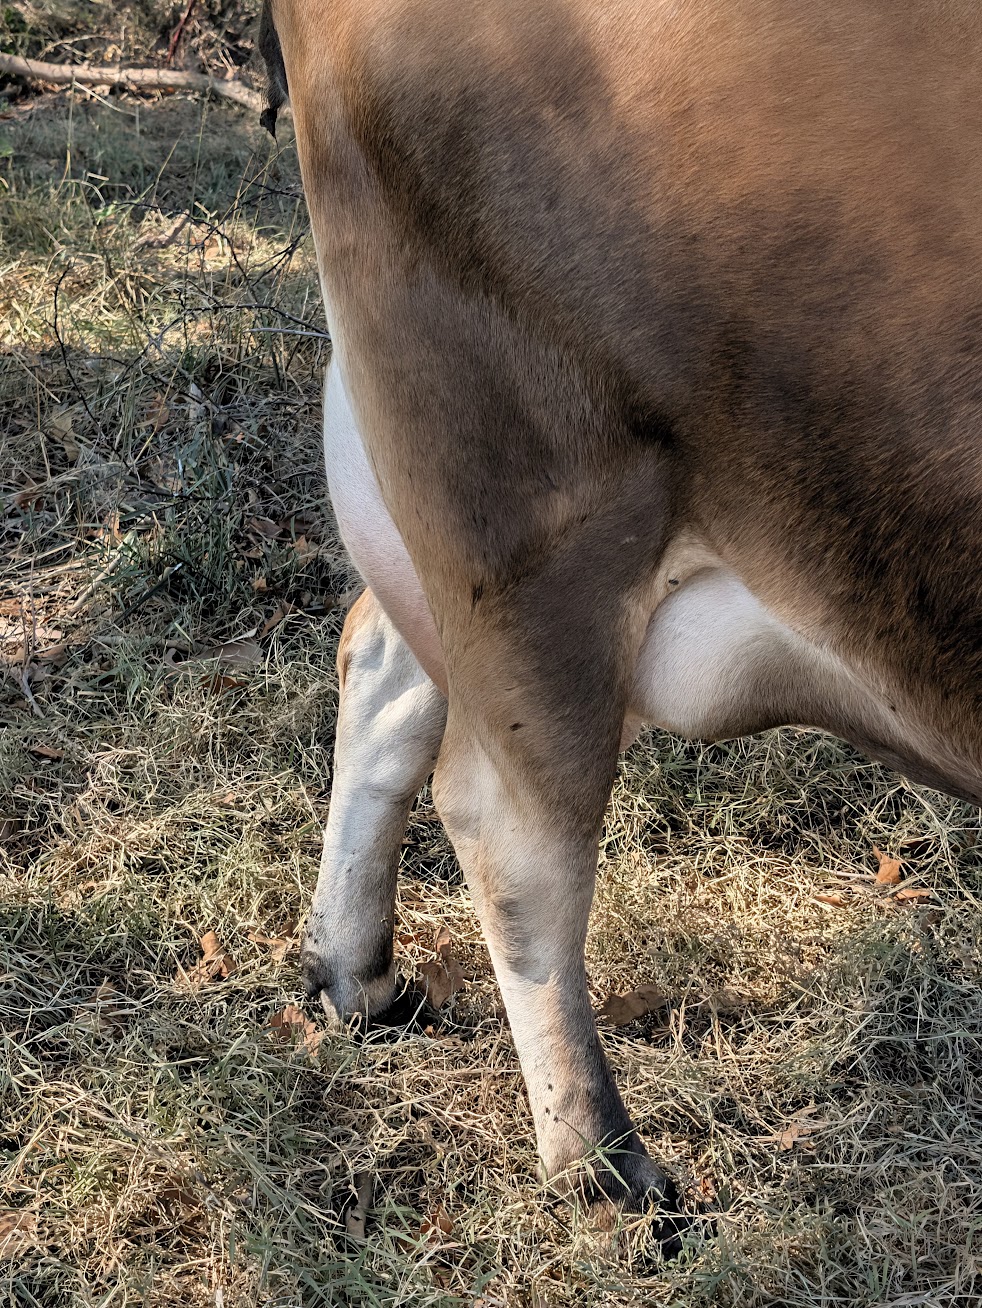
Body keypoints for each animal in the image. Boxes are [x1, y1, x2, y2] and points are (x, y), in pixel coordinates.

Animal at [258, 0, 982, 1246]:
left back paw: (357, 976)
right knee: (509, 827)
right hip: (529, 500)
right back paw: (602, 1166)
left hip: (437, 507)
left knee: (382, 665)